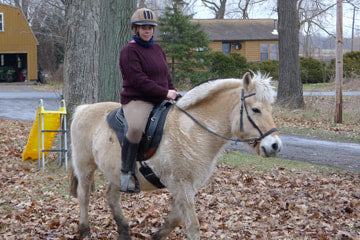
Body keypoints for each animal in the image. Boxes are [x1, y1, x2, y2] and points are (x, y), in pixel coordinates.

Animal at [68, 72, 282, 239]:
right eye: (255, 109)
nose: (275, 145)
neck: (192, 131)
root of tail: (83, 108)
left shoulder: (187, 186)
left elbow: (176, 218)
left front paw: (157, 235)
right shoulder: (181, 184)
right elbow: (192, 226)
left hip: (118, 173)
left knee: (111, 197)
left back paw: (124, 231)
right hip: (85, 167)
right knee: (84, 196)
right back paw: (85, 230)